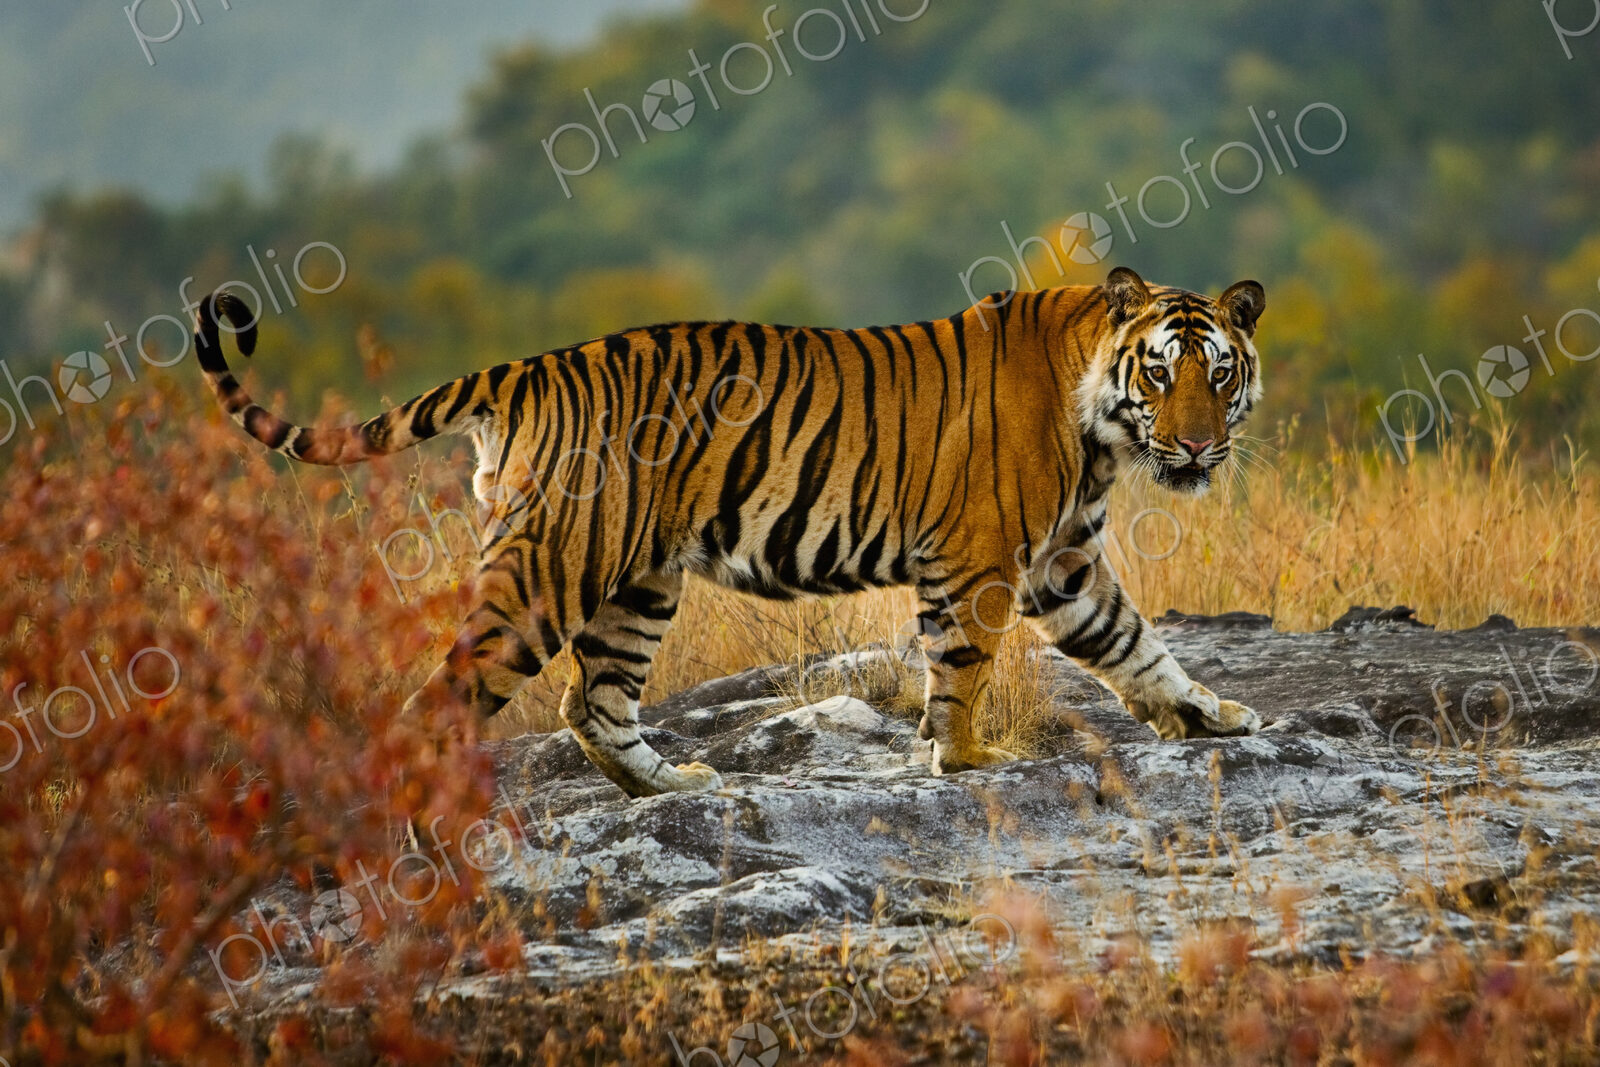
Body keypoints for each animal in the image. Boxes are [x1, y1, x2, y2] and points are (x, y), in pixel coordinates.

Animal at [192, 266, 1266, 797]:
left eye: (1219, 375)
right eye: (1161, 373)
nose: (1198, 447)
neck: (1103, 428)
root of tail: (527, 368)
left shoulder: (1065, 562)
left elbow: (1135, 644)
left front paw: (1209, 715)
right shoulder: (981, 561)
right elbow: (960, 670)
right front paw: (965, 762)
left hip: (637, 581)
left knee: (593, 701)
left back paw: (673, 783)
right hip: (550, 570)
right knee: (445, 698)